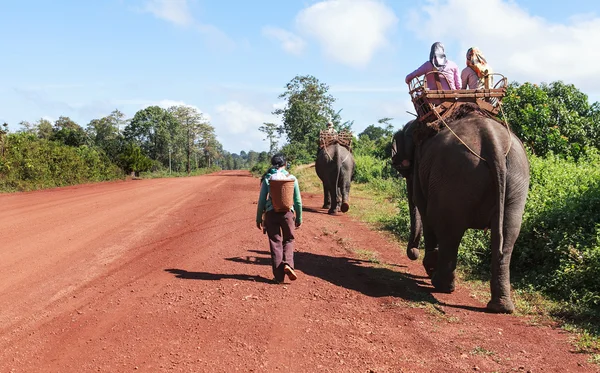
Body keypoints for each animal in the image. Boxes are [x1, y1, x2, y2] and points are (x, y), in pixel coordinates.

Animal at [394, 104, 528, 310]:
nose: (413, 253)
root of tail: (493, 142)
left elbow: (424, 211)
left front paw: (429, 264)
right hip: (515, 179)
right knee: (508, 234)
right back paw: (501, 307)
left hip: (453, 177)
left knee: (447, 229)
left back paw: (440, 284)